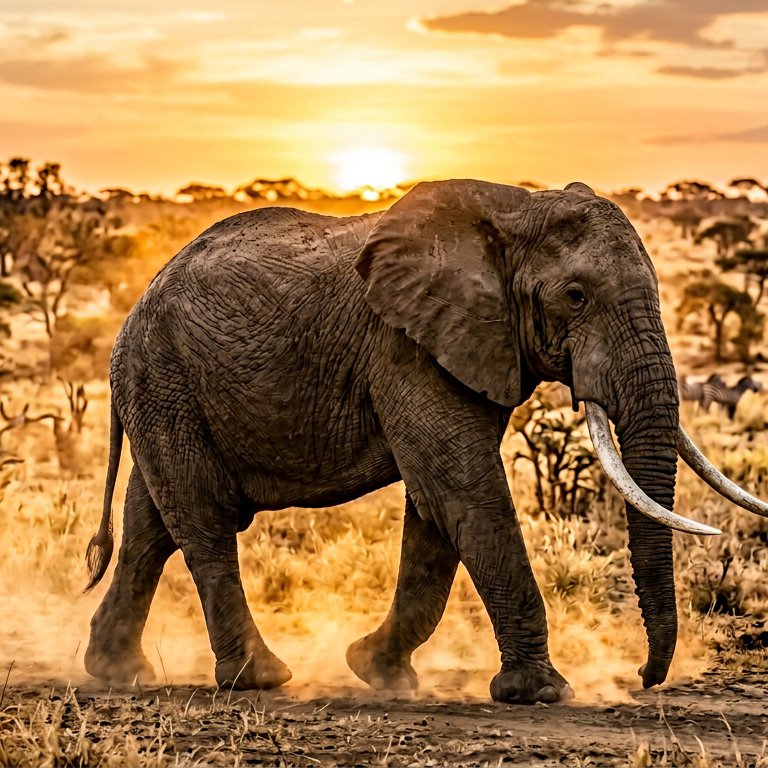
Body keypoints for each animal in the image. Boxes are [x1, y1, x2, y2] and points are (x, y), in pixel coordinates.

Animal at [83, 179, 767, 704]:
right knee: (202, 521)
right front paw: (541, 693)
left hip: (165, 390)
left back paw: (116, 671)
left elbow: (437, 515)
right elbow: (463, 491)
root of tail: (136, 306)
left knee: (151, 526)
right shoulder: (404, 346)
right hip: (163, 377)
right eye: (576, 296)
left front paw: (377, 671)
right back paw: (260, 679)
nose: (644, 677)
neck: (514, 211)